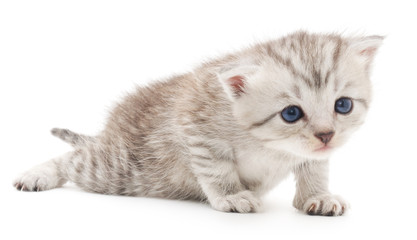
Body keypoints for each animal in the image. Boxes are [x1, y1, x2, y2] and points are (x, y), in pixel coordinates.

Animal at [13, 31, 382, 216]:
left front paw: (317, 196)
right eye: (291, 113)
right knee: (73, 158)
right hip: (122, 169)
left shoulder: (312, 154)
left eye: (343, 105)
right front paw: (231, 196)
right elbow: (216, 169)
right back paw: (37, 175)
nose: (326, 135)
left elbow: (314, 168)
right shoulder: (195, 125)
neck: (270, 144)